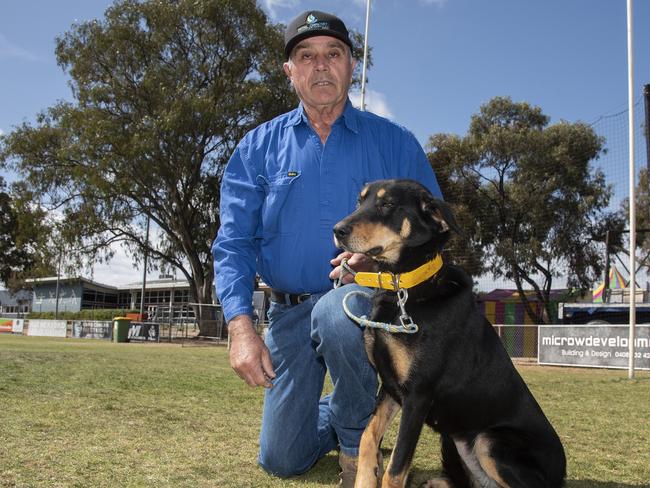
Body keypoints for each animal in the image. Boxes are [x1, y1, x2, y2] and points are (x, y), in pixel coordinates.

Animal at [332, 179, 564, 488]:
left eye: (387, 204)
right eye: (360, 202)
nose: (337, 230)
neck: (404, 289)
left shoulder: (417, 395)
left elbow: (395, 468)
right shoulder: (391, 387)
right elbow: (367, 437)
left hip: (489, 441)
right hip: (455, 439)